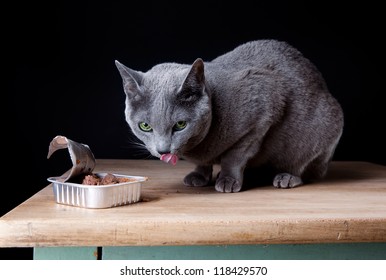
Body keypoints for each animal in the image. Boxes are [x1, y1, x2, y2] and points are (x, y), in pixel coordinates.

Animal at [114, 39, 344, 192]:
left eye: (180, 124)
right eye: (145, 126)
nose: (163, 151)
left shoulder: (263, 113)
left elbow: (234, 156)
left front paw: (227, 180)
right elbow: (203, 163)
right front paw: (199, 175)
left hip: (321, 130)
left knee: (303, 166)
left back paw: (287, 177)